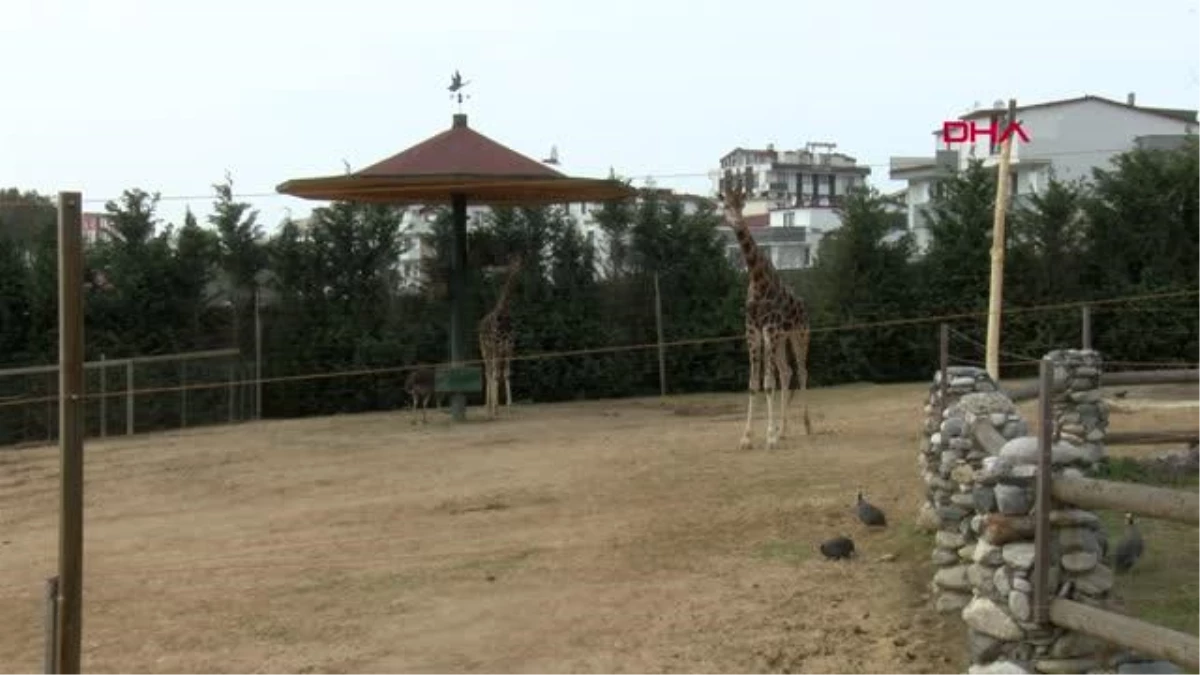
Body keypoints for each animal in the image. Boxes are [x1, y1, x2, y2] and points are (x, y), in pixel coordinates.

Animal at [475, 254, 523, 417]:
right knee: (488, 372)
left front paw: (509, 406)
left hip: (497, 352)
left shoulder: (509, 348)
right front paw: (495, 408)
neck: (503, 313)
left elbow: (506, 374)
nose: (487, 271)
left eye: (507, 265)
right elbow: (495, 375)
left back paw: (492, 405)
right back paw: (488, 406)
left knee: (494, 372)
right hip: (485, 349)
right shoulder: (496, 347)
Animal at [720, 170, 816, 449]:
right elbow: (754, 383)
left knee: (802, 371)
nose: (737, 222)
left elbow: (768, 382)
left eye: (741, 204)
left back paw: (806, 426)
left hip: (799, 334)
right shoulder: (753, 330)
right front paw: (748, 437)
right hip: (781, 339)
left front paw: (769, 438)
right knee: (787, 372)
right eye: (725, 204)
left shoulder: (769, 329)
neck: (757, 279)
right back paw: (783, 430)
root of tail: (803, 304)